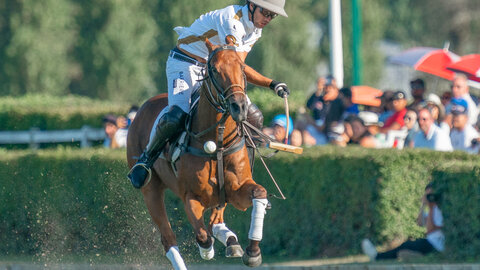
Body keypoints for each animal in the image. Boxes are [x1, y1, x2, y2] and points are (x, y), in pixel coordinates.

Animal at [127, 41, 268, 268]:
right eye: (214, 70)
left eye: (242, 68)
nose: (239, 107)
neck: (217, 142)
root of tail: (143, 107)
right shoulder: (190, 196)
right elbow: (202, 236)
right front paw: (207, 251)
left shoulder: (237, 189)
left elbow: (259, 193)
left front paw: (252, 251)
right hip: (150, 189)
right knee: (169, 238)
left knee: (215, 221)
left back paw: (230, 239)